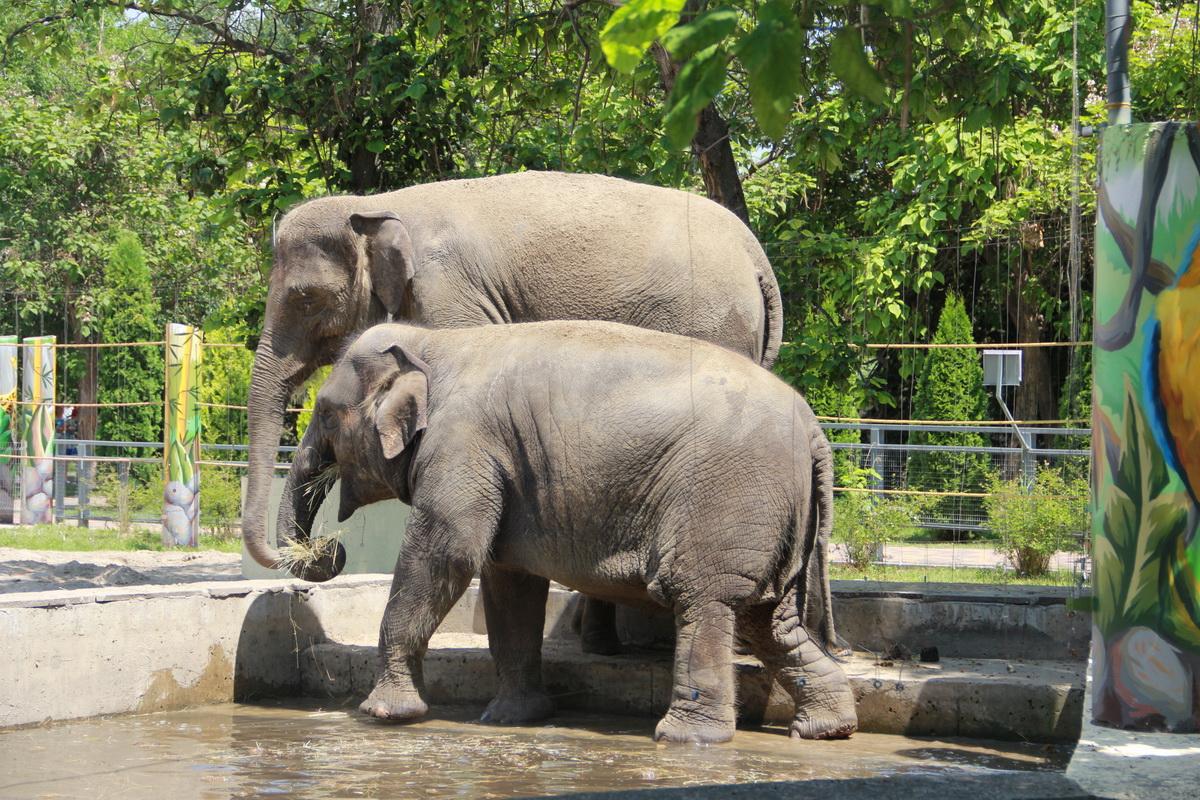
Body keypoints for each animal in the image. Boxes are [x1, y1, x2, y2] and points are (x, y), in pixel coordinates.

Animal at [243, 172, 787, 652]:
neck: (377, 204)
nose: (330, 550)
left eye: (305, 298)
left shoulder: (449, 293)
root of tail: (758, 258)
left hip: (714, 323)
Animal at [289, 319, 854, 743]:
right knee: (771, 620)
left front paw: (383, 715)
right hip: (771, 515)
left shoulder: (461, 445)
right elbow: (508, 580)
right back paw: (827, 728)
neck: (436, 343)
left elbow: (447, 555)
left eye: (325, 413)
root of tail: (814, 430)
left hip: (727, 498)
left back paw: (686, 739)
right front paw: (512, 718)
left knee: (706, 600)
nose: (323, 551)